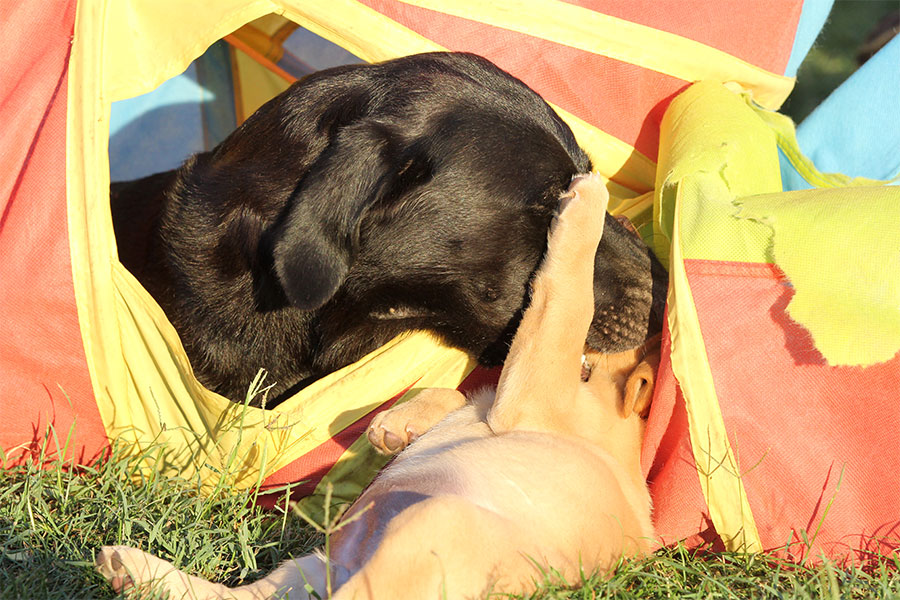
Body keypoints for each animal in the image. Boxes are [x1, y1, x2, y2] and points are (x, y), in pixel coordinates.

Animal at [97, 173, 659, 599]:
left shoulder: (536, 385)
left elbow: (567, 297)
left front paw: (587, 202)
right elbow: (457, 391)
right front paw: (396, 425)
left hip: (434, 525)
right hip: (308, 569)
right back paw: (133, 569)